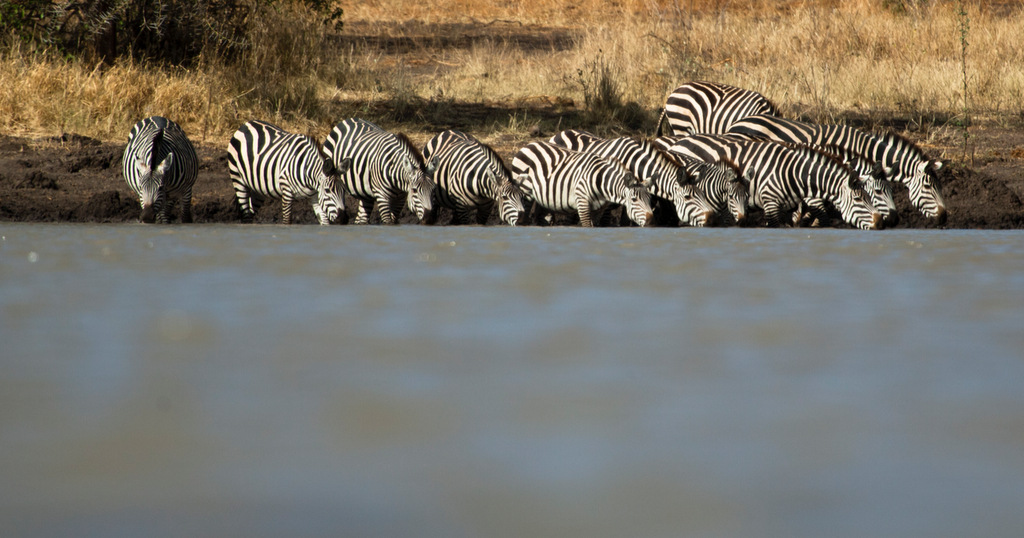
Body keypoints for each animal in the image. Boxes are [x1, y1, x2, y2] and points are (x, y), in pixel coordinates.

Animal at [509, 140, 655, 226]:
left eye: (649, 199)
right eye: (634, 199)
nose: (650, 220)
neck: (601, 180)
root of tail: (528, 145)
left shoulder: (597, 209)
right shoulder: (582, 203)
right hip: (525, 193)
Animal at [667, 135, 884, 229]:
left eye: (870, 195)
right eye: (858, 199)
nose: (882, 223)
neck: (795, 174)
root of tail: (677, 142)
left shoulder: (790, 208)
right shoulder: (771, 204)